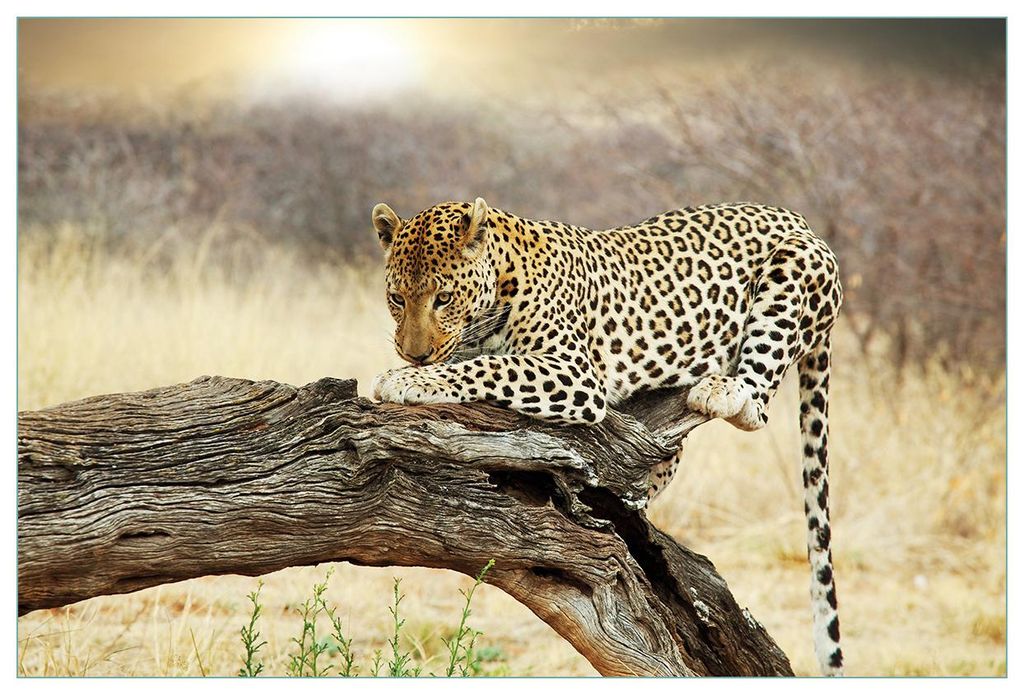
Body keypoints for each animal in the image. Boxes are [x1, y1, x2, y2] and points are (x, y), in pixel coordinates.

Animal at [369, 197, 844, 675]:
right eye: (396, 299)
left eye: (443, 298)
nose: (414, 354)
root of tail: (797, 218)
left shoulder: (573, 371)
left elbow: (489, 367)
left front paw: (407, 380)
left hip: (793, 270)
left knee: (756, 405)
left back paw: (722, 390)